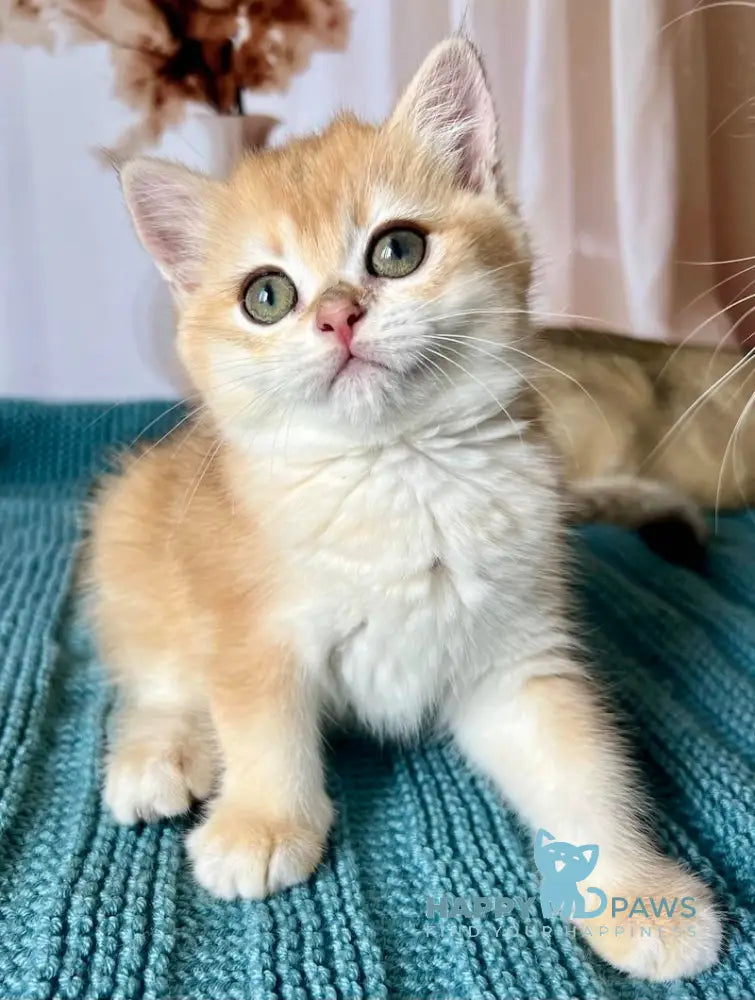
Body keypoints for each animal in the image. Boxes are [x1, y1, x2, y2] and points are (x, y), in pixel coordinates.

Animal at [85, 37, 724, 976]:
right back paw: (159, 754)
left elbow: (579, 767)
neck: (397, 473)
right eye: (267, 296)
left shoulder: (516, 658)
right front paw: (262, 822)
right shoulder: (252, 635)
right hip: (131, 524)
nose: (338, 317)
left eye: (396, 250)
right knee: (158, 674)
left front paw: (634, 891)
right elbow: (260, 726)